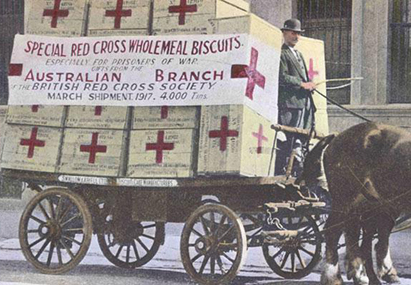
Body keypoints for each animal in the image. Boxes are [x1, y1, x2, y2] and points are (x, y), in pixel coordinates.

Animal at [300, 122, 411, 284]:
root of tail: (337, 138)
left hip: (370, 204)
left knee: (362, 237)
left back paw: (367, 275)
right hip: (345, 199)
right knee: (334, 231)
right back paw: (334, 277)